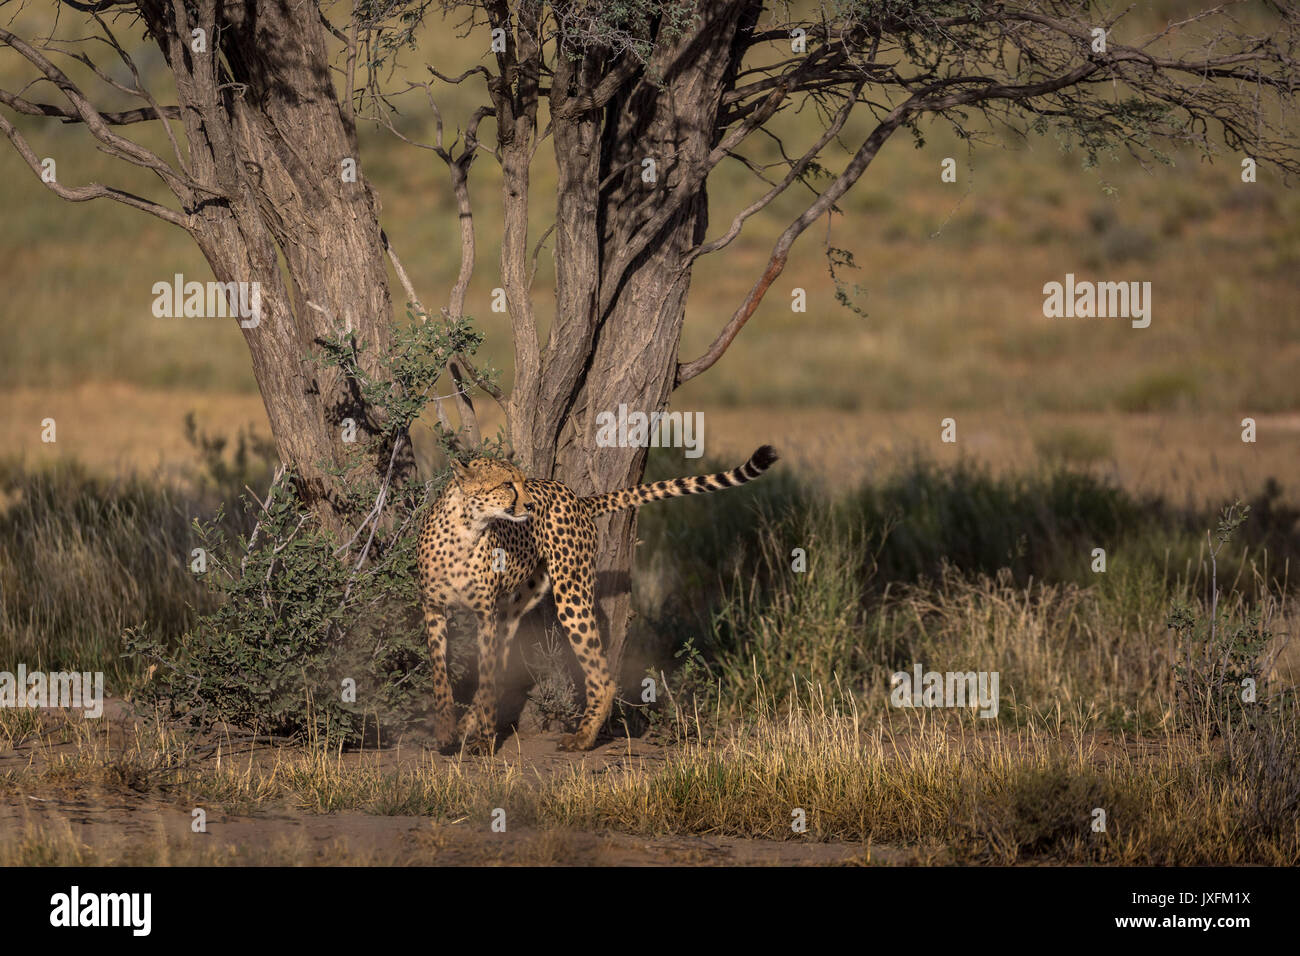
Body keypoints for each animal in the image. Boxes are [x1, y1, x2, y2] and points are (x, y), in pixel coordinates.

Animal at [418, 444, 780, 749]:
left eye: (521, 482)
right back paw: (467, 724)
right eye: (508, 484)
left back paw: (583, 737)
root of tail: (577, 497)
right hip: (516, 607)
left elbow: (486, 677)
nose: (530, 505)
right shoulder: (434, 608)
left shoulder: (486, 614)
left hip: (571, 593)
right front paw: (446, 730)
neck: (467, 530)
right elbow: (441, 672)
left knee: (601, 676)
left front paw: (483, 741)